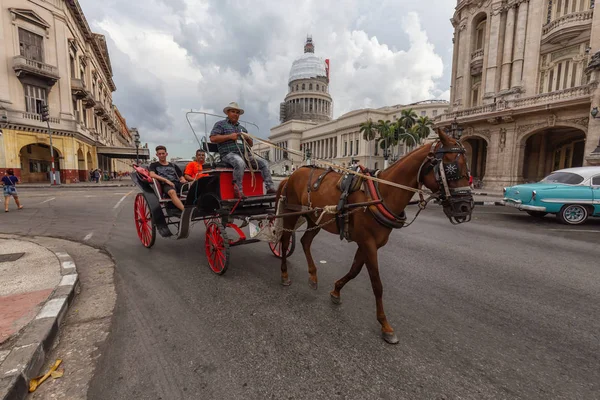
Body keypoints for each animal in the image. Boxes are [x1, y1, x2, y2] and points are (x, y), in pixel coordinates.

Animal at [274, 129, 476, 344]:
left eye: (466, 166)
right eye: (451, 166)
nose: (465, 207)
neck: (382, 194)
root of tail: (291, 175)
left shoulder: (369, 244)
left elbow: (354, 270)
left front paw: (336, 290)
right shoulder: (368, 243)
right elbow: (377, 284)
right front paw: (385, 325)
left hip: (314, 219)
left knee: (305, 241)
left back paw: (312, 275)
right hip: (291, 213)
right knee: (285, 241)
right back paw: (284, 274)